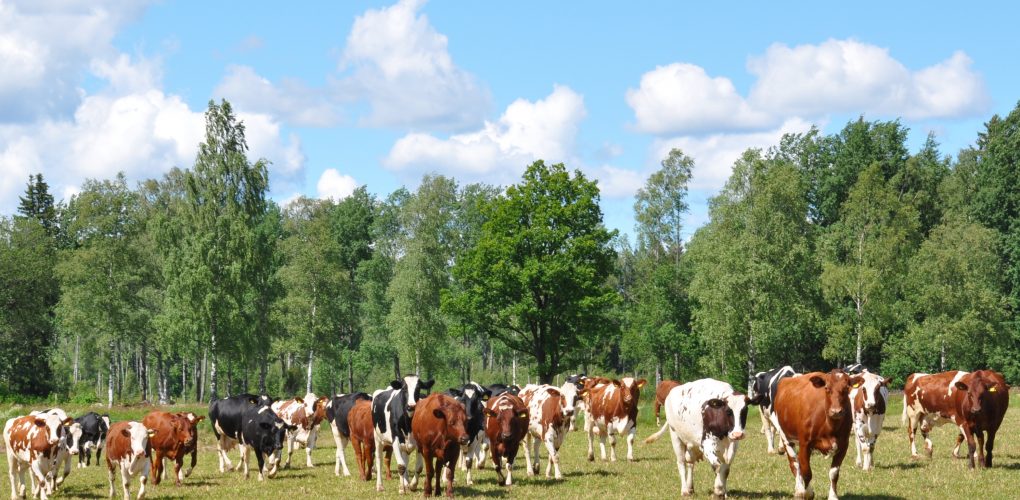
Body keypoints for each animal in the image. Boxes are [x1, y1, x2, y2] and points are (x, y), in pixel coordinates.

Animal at [771, 367, 860, 500]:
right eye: (827, 388)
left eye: (846, 388)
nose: (836, 411)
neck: (829, 425)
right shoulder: (805, 444)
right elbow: (807, 471)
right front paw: (808, 493)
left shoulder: (844, 445)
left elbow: (834, 473)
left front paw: (833, 496)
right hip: (785, 436)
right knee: (795, 463)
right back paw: (799, 489)